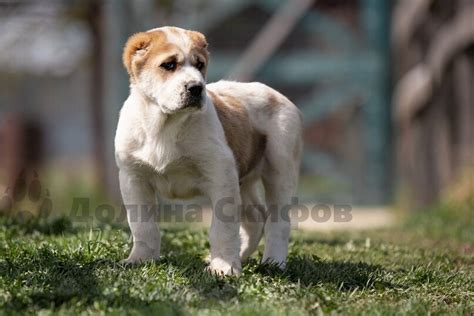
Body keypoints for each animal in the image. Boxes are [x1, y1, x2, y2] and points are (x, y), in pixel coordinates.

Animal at [115, 26, 302, 274]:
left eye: (200, 65)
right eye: (169, 65)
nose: (196, 88)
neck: (164, 125)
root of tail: (280, 96)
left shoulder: (221, 175)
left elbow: (222, 229)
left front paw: (224, 268)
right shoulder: (133, 178)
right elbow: (142, 225)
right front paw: (140, 259)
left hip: (279, 169)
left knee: (278, 222)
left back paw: (273, 262)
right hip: (242, 181)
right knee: (255, 219)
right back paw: (242, 256)